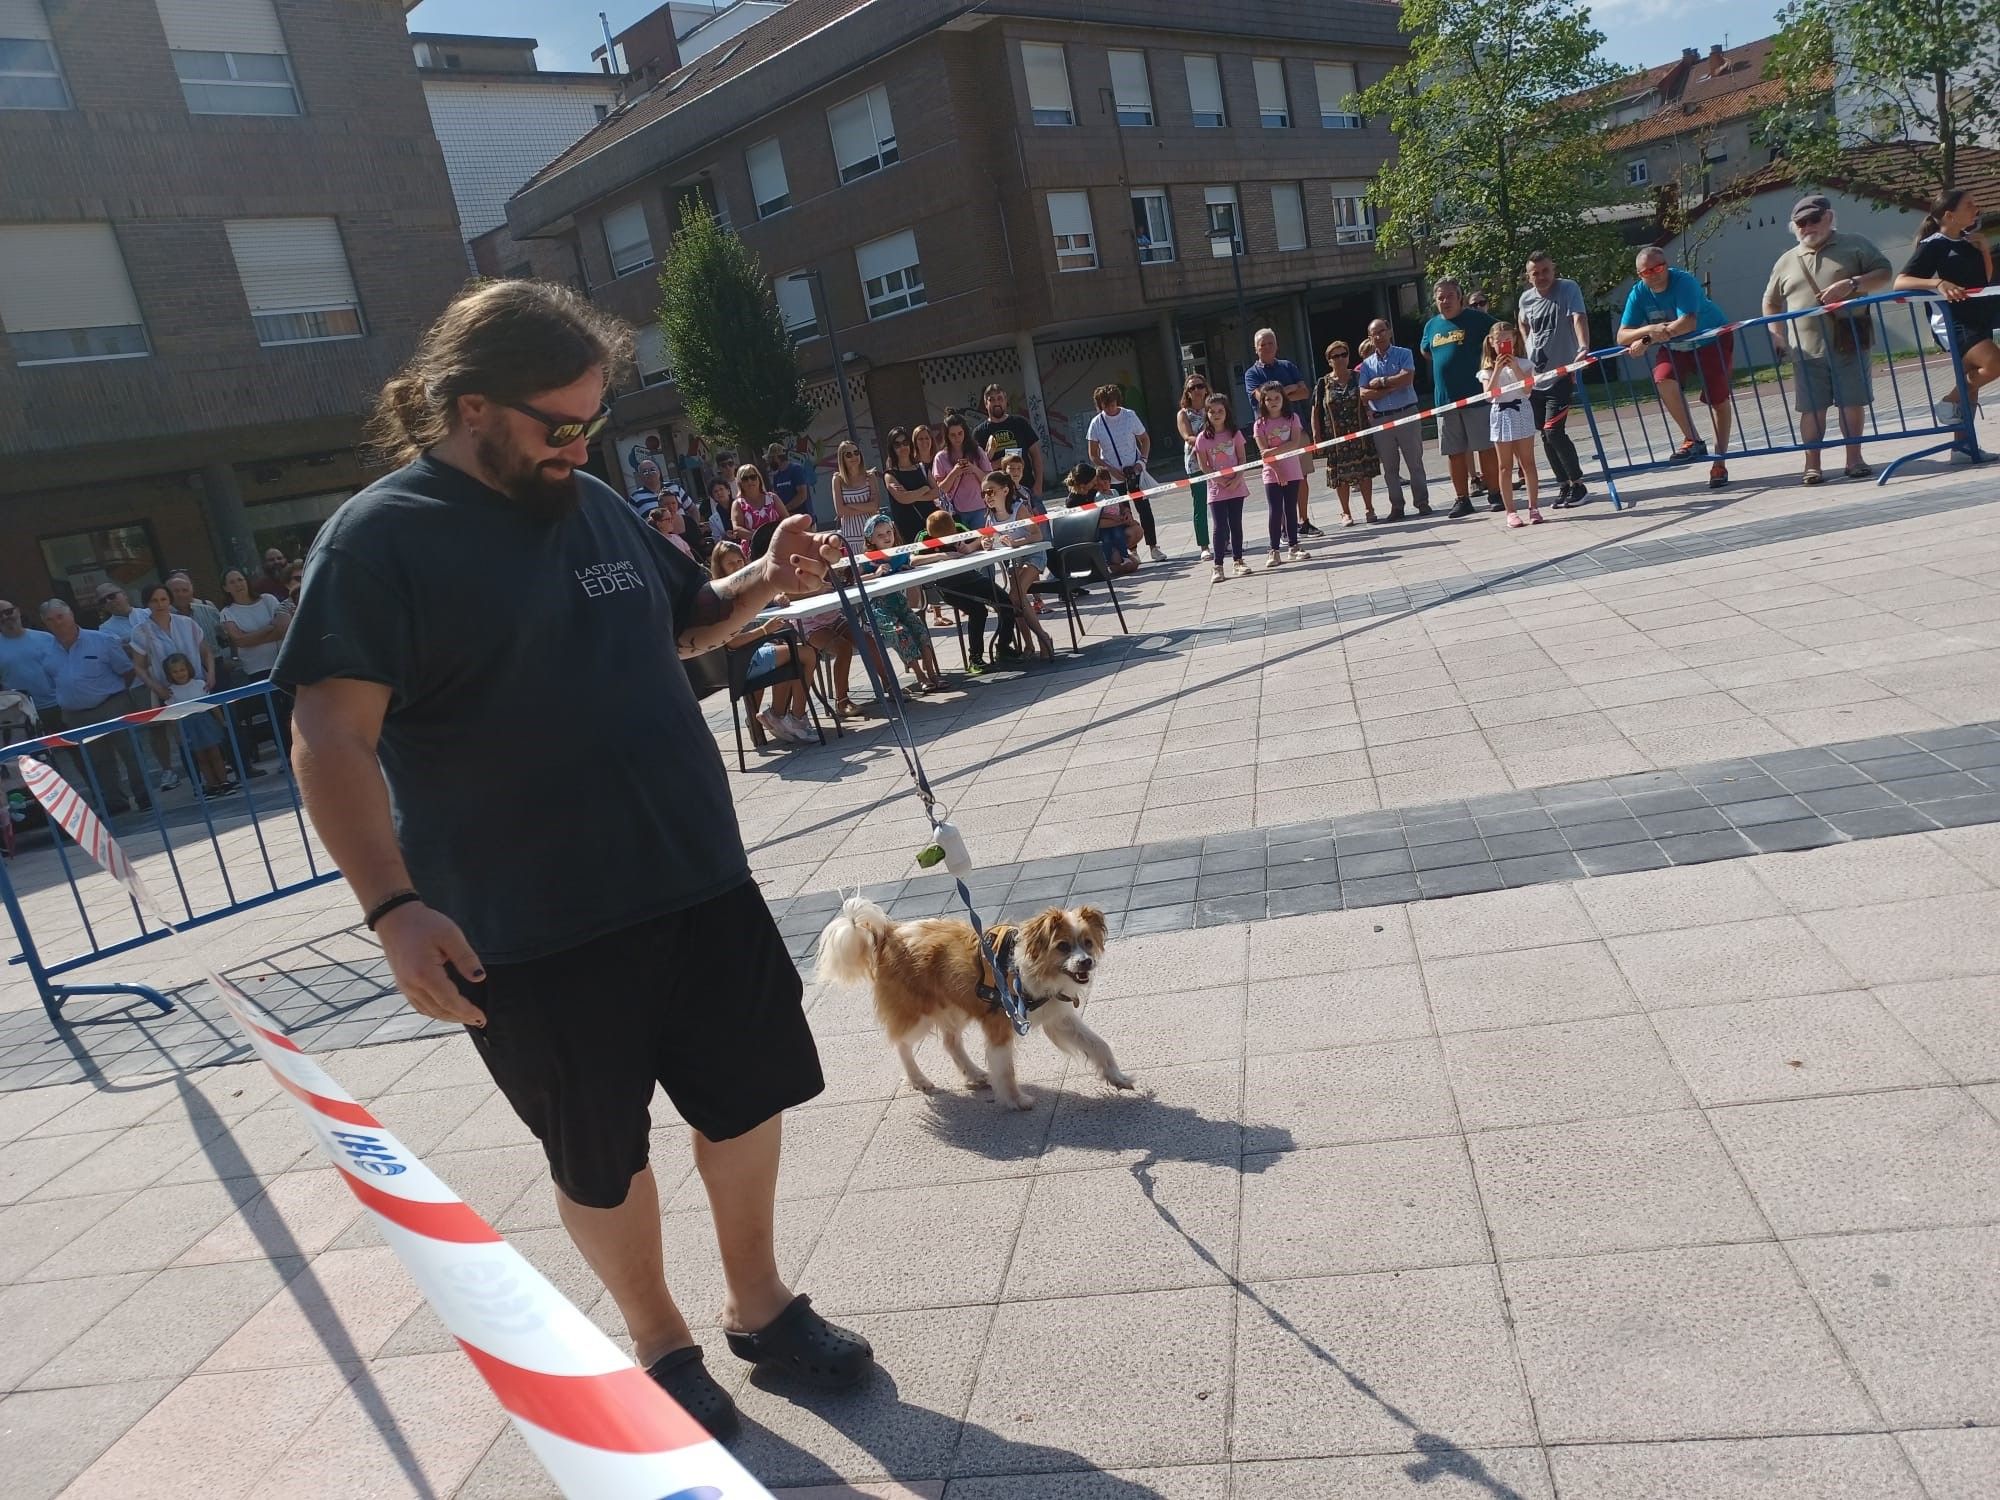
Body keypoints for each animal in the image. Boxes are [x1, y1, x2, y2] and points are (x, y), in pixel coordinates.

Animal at [808, 900, 1128, 1112]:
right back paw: (918, 1079)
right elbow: (1006, 1069)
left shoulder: (1057, 1018)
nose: (1086, 962)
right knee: (901, 1043)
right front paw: (1016, 1100)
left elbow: (1098, 1044)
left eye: (1087, 943)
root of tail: (889, 933)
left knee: (950, 1042)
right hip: (918, 1013)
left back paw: (973, 1074)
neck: (1028, 969)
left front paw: (1118, 1077)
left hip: (956, 1005)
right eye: (1063, 946)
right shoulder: (1001, 1025)